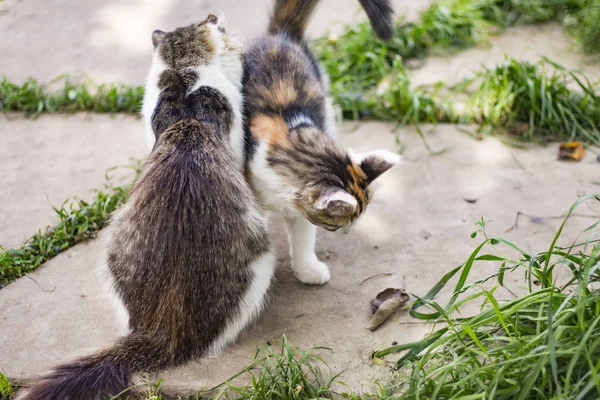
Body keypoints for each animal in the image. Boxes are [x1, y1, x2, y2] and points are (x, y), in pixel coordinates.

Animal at [241, 0, 400, 288]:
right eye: (338, 223)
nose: (348, 230)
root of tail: (282, 36)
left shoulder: (297, 207)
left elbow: (303, 235)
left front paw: (307, 268)